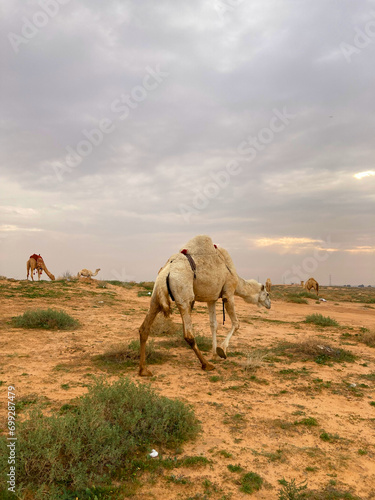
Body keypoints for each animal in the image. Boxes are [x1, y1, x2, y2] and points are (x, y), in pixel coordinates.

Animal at [140, 234, 272, 376]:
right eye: (267, 294)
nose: (269, 305)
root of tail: (167, 271)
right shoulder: (228, 293)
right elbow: (236, 324)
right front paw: (222, 350)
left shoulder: (211, 299)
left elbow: (213, 325)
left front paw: (214, 354)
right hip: (184, 294)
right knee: (188, 334)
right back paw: (206, 365)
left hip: (156, 295)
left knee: (144, 328)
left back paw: (143, 370)